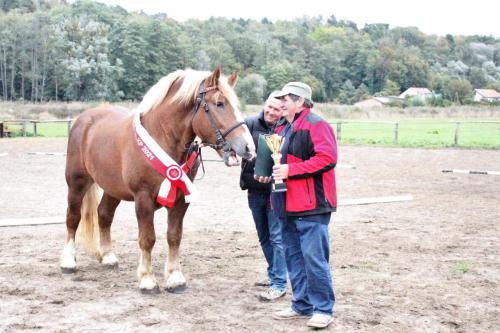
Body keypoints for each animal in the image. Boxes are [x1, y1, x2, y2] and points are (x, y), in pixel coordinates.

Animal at [59, 67, 256, 294]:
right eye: (219, 103)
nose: (248, 147)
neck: (163, 137)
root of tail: (84, 119)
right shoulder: (143, 198)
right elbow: (147, 239)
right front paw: (147, 280)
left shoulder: (180, 199)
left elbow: (174, 236)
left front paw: (175, 278)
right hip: (77, 182)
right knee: (73, 217)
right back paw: (68, 262)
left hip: (112, 188)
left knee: (104, 215)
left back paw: (108, 257)